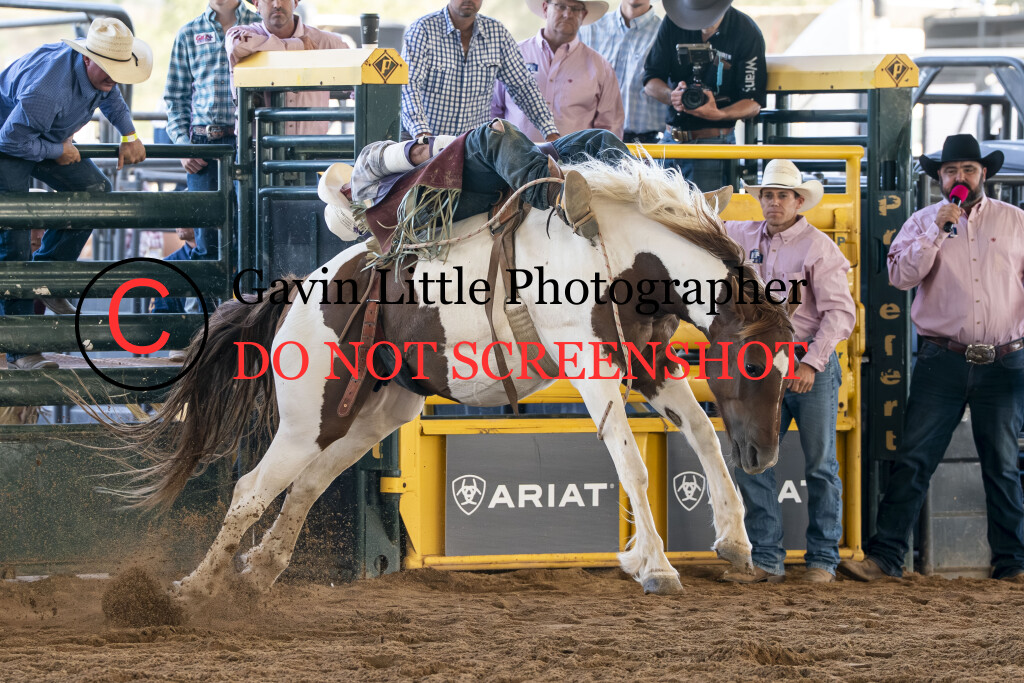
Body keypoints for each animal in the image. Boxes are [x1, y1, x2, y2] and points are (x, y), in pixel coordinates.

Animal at [109, 154, 795, 598]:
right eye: (753, 362)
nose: (764, 455)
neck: (617, 253)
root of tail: (300, 291)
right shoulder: (591, 364)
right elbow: (629, 458)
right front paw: (655, 565)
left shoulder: (648, 361)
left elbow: (702, 433)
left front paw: (734, 540)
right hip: (310, 418)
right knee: (253, 489)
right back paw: (194, 588)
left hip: (372, 416)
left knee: (305, 485)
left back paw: (258, 572)